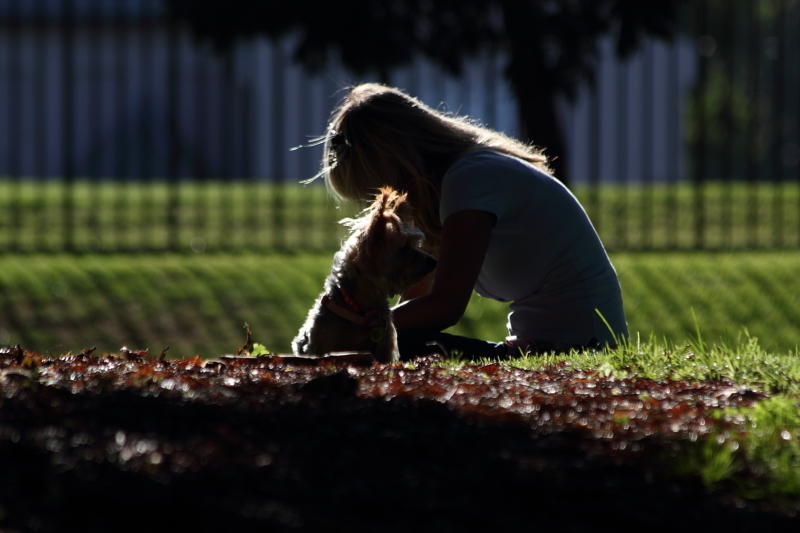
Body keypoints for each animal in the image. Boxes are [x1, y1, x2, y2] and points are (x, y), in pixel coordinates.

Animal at [292, 186, 434, 362]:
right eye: (403, 248)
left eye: (415, 245)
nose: (434, 262)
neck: (361, 310)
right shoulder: (322, 345)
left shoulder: (385, 348)